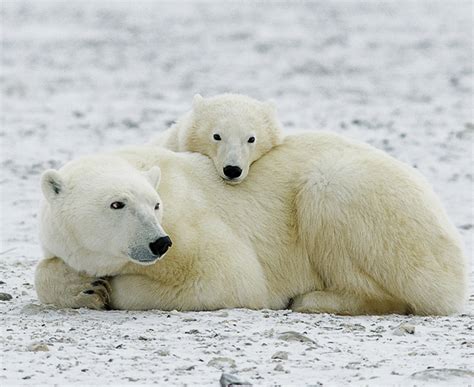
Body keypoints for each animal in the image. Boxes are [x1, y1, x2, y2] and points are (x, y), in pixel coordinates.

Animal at [35, 133, 468, 316]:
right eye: (117, 203)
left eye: (156, 205)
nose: (160, 243)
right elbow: (47, 268)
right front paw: (83, 286)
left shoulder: (192, 225)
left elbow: (226, 275)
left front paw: (109, 288)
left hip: (371, 205)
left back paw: (316, 300)